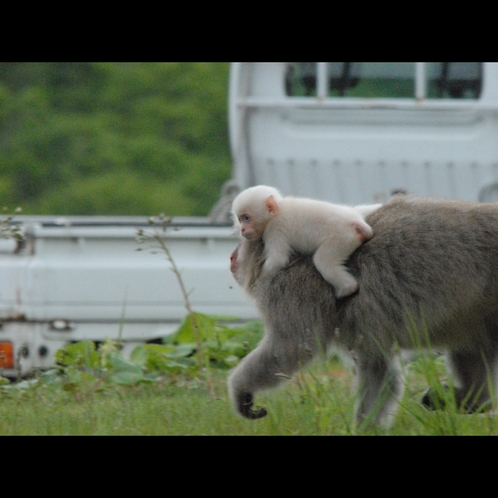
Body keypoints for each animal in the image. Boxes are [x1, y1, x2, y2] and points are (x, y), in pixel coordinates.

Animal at [231, 185, 380, 298]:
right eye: (240, 219)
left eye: (246, 218)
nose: (242, 229)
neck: (277, 212)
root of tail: (354, 222)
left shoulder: (274, 230)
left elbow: (278, 259)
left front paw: (257, 280)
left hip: (343, 239)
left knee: (323, 261)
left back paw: (348, 289)